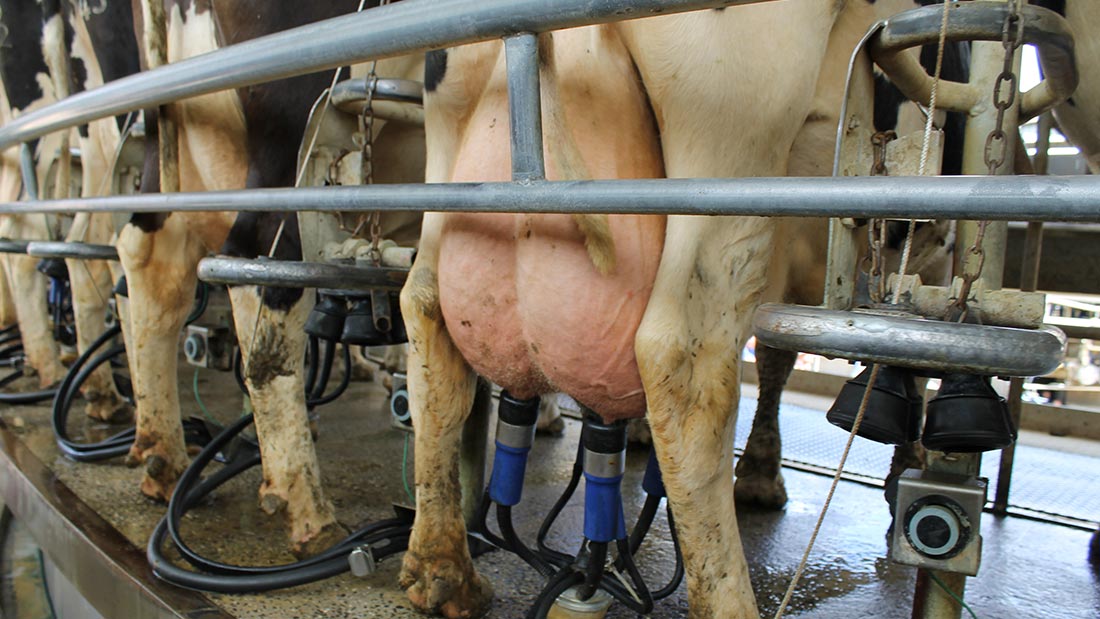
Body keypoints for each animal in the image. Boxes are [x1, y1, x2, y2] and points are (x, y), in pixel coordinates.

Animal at [397, 1, 874, 616]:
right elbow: (779, 359)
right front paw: (763, 479)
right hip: (729, 134)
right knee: (685, 364)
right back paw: (731, 600)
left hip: (446, 141)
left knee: (426, 314)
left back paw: (443, 572)